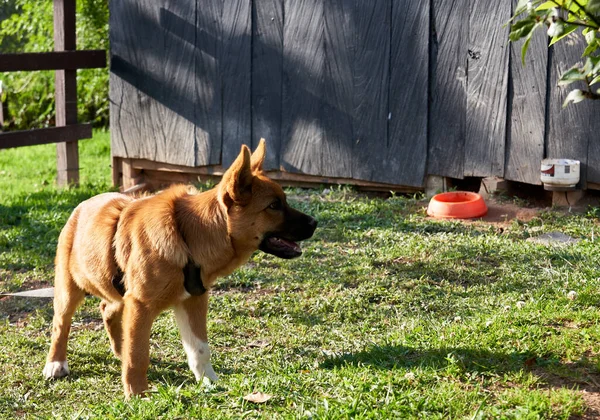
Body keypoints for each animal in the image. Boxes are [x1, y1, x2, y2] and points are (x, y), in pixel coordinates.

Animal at [42, 140, 316, 398]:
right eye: (274, 206)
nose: (315, 223)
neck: (189, 236)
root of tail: (83, 205)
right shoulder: (141, 305)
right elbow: (138, 354)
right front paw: (137, 393)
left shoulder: (193, 300)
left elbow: (200, 349)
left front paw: (209, 382)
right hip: (69, 289)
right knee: (60, 325)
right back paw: (56, 363)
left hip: (118, 292)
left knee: (107, 309)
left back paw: (119, 350)